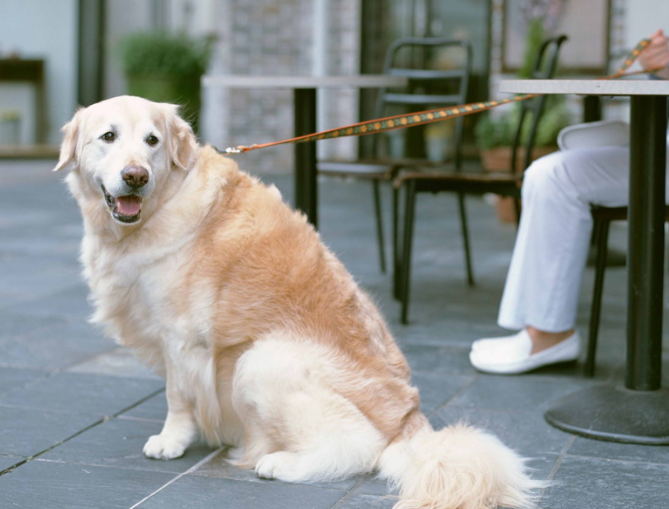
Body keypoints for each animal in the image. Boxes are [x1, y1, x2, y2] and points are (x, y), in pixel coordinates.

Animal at [53, 96, 544, 508]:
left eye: (152, 141)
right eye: (108, 137)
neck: (159, 205)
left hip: (261, 360)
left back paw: (278, 462)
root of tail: (411, 422)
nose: (136, 176)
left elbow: (178, 395)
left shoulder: (182, 335)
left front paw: (171, 440)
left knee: (361, 448)